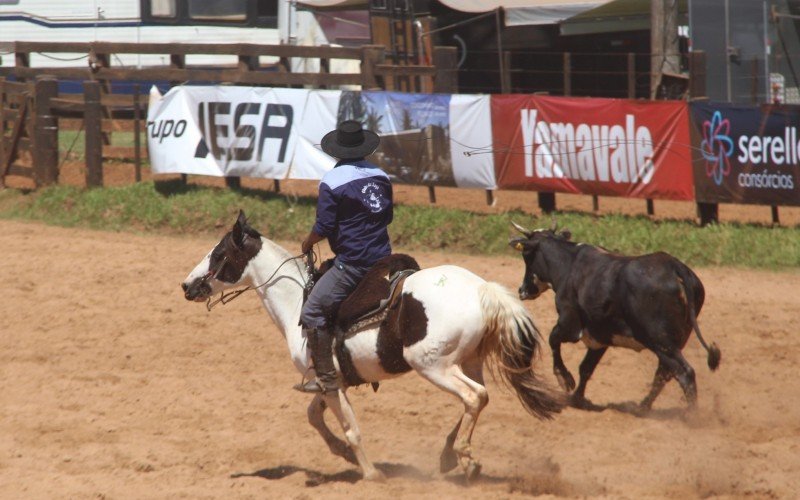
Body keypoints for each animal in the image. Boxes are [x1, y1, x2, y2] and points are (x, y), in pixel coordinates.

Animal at [183, 211, 564, 480]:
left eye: (218, 254)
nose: (187, 285)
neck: (296, 302)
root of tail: (483, 289)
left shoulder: (328, 381)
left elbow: (351, 428)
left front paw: (369, 472)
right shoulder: (327, 381)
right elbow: (313, 416)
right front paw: (341, 452)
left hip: (432, 365)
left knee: (473, 397)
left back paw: (465, 460)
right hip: (469, 360)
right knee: (479, 397)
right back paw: (450, 456)